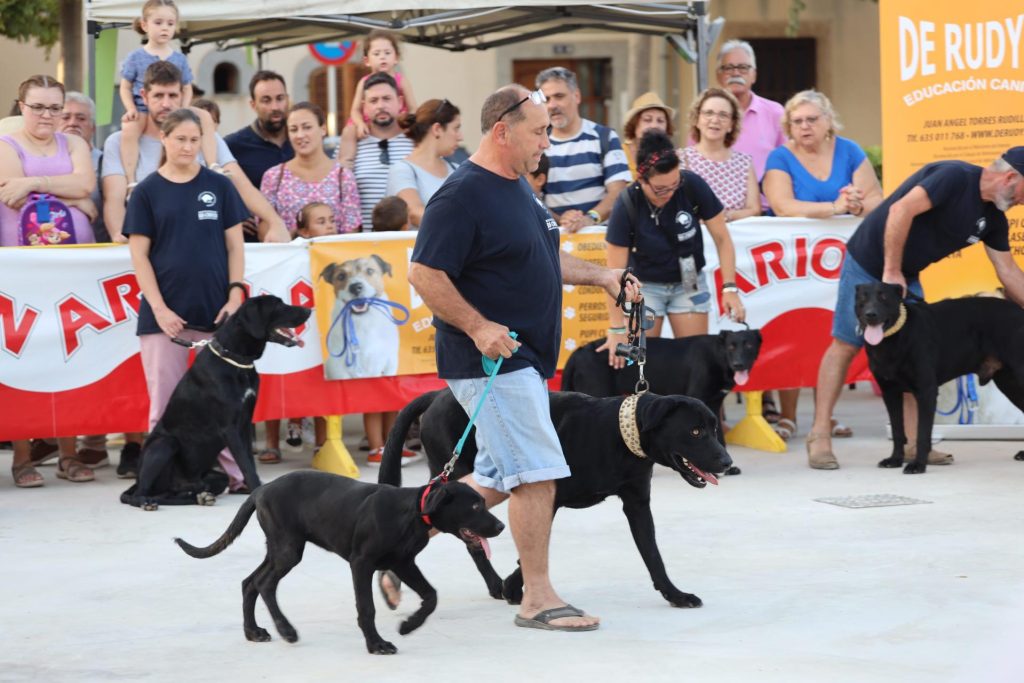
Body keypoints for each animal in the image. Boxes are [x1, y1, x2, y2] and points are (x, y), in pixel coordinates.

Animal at [119, 296, 307, 509]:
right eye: (277, 305)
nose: (308, 310)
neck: (235, 360)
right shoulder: (230, 428)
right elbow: (247, 466)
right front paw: (257, 492)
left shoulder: (244, 424)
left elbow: (249, 462)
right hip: (164, 444)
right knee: (140, 494)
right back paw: (147, 501)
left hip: (215, 478)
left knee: (171, 493)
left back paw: (200, 497)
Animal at [175, 473, 503, 655]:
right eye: (475, 505)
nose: (500, 527)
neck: (410, 512)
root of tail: (259, 490)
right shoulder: (361, 563)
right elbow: (367, 608)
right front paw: (376, 645)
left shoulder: (403, 562)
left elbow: (431, 596)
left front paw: (409, 625)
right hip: (288, 550)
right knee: (264, 583)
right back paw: (285, 630)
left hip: (280, 548)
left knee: (249, 582)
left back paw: (253, 632)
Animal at [380, 389, 733, 610]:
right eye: (696, 431)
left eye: (714, 428)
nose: (727, 462)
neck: (619, 434)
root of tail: (435, 396)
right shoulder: (547, 498)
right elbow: (530, 552)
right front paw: (513, 587)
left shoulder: (637, 504)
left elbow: (653, 555)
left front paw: (675, 595)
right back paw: (492, 583)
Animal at [860, 280, 1024, 473]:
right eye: (862, 298)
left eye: (884, 297)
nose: (870, 315)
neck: (896, 338)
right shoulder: (890, 393)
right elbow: (897, 431)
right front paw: (895, 460)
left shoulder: (926, 392)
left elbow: (922, 433)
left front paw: (918, 465)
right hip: (1010, 384)